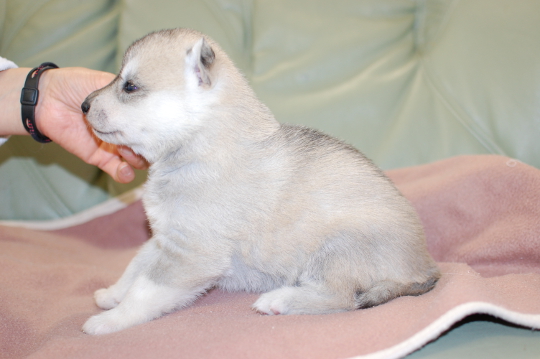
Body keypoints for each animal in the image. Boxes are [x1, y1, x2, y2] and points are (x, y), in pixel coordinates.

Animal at [82, 28, 440, 338]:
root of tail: (424, 268)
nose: (83, 105)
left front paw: (111, 319)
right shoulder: (163, 239)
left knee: (342, 297)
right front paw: (113, 294)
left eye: (130, 87)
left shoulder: (189, 254)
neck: (201, 144)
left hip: (337, 248)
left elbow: (145, 290)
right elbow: (135, 267)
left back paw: (280, 300)